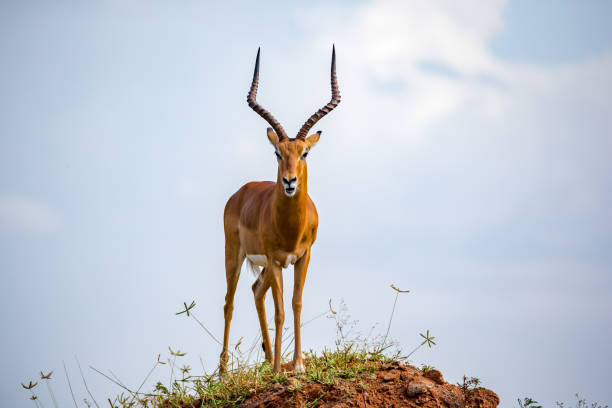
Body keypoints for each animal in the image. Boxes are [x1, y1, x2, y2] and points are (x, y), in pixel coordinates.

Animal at [220, 45, 342, 372]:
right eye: (277, 152)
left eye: (305, 153)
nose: (289, 181)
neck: (290, 228)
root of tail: (241, 192)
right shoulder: (276, 260)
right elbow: (280, 311)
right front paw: (279, 369)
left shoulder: (302, 257)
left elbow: (295, 304)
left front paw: (297, 364)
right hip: (234, 255)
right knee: (229, 302)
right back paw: (223, 373)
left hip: (262, 267)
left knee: (255, 291)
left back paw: (265, 359)